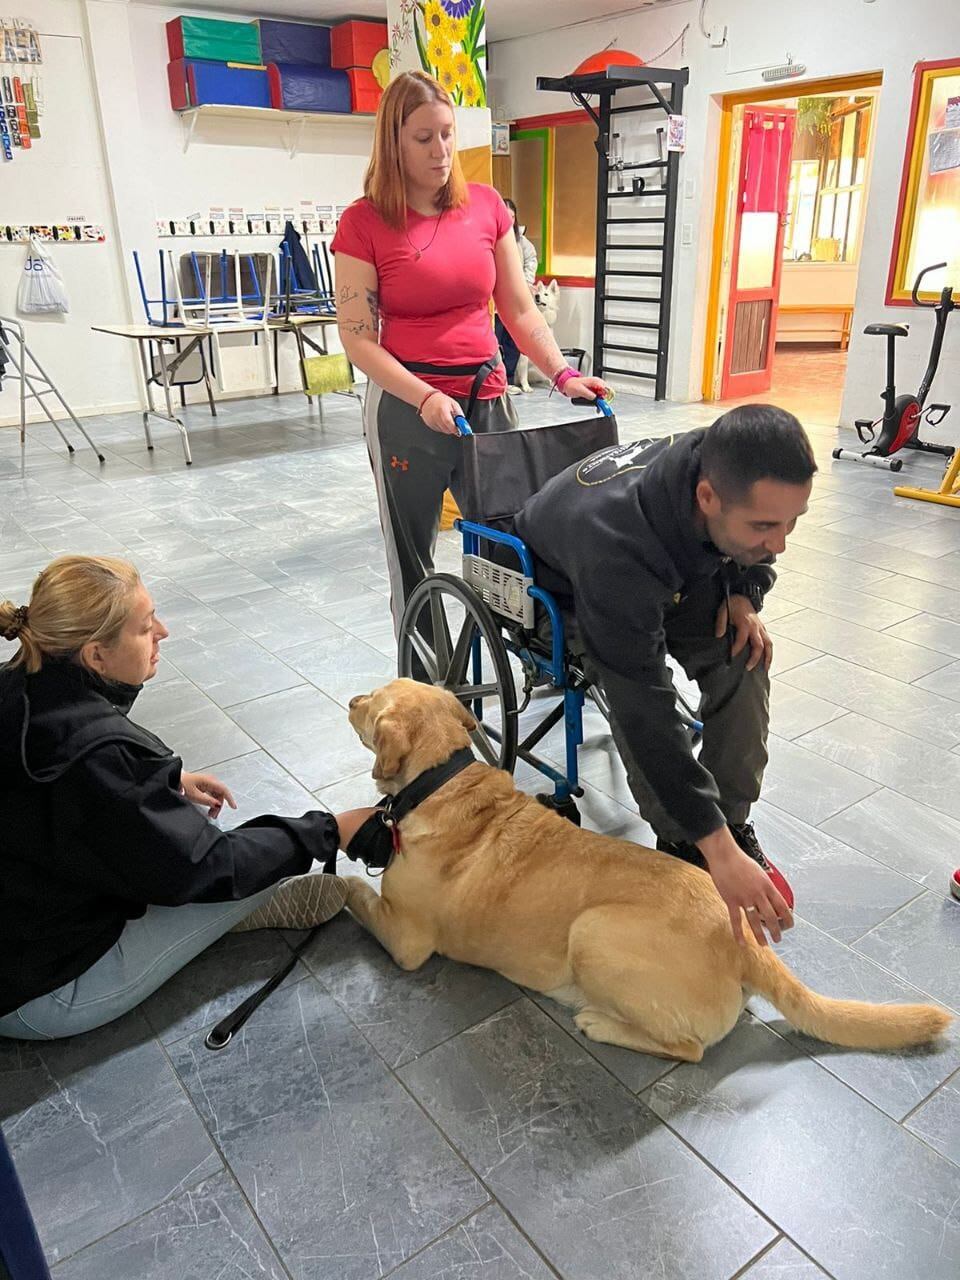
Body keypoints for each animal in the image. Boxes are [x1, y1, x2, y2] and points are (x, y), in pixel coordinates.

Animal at [343, 680, 947, 1059]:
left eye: (371, 701)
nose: (350, 699)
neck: (442, 779)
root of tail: (745, 942)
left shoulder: (406, 938)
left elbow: (356, 893)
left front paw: (338, 877)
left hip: (593, 932)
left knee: (688, 1049)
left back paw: (599, 1022)